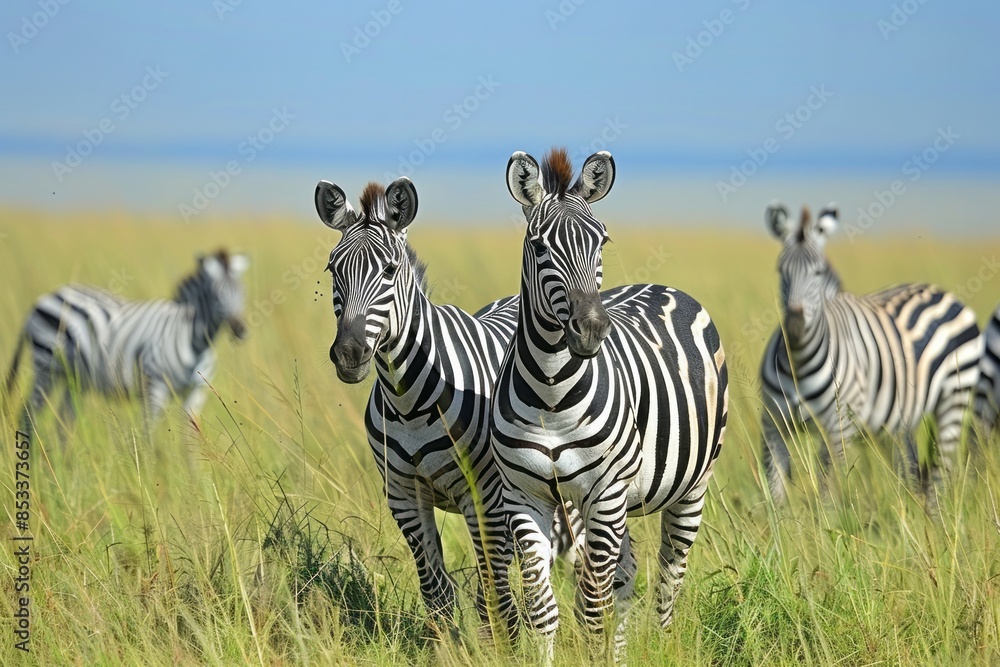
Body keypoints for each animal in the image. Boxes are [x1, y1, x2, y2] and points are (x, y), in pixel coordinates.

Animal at [5, 250, 249, 429]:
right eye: (215, 295)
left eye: (242, 292)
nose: (241, 330)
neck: (192, 339)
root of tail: (42, 299)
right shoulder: (154, 387)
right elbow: (148, 437)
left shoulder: (196, 392)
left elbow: (191, 445)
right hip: (46, 367)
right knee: (28, 417)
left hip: (73, 378)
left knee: (64, 425)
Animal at [315, 177, 582, 640]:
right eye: (334, 269)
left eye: (389, 271)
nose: (349, 353)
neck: (409, 402)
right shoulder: (404, 497)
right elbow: (436, 591)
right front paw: (446, 645)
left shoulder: (485, 496)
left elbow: (492, 592)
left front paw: (501, 645)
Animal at [491, 148, 729, 663]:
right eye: (539, 246)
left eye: (602, 242)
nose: (591, 330)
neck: (551, 395)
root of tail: (662, 286)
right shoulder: (524, 495)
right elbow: (543, 608)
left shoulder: (603, 492)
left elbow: (591, 611)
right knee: (627, 574)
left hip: (690, 487)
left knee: (668, 581)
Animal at [760, 203, 982, 505]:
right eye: (780, 270)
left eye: (818, 272)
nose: (794, 323)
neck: (798, 362)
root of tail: (939, 291)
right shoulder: (772, 424)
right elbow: (776, 493)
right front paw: (782, 520)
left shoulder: (837, 428)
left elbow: (827, 491)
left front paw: (828, 519)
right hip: (900, 421)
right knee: (912, 471)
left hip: (954, 401)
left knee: (939, 475)